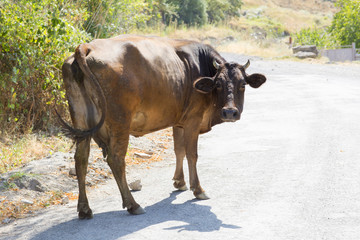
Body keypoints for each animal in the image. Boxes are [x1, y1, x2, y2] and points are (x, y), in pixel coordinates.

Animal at [59, 34, 266, 219]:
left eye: (242, 84)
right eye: (218, 84)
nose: (230, 112)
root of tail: (87, 46)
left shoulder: (179, 121)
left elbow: (179, 150)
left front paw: (179, 182)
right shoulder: (193, 120)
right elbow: (192, 154)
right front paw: (198, 189)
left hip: (81, 121)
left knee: (81, 159)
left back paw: (84, 209)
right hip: (120, 123)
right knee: (116, 159)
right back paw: (133, 204)